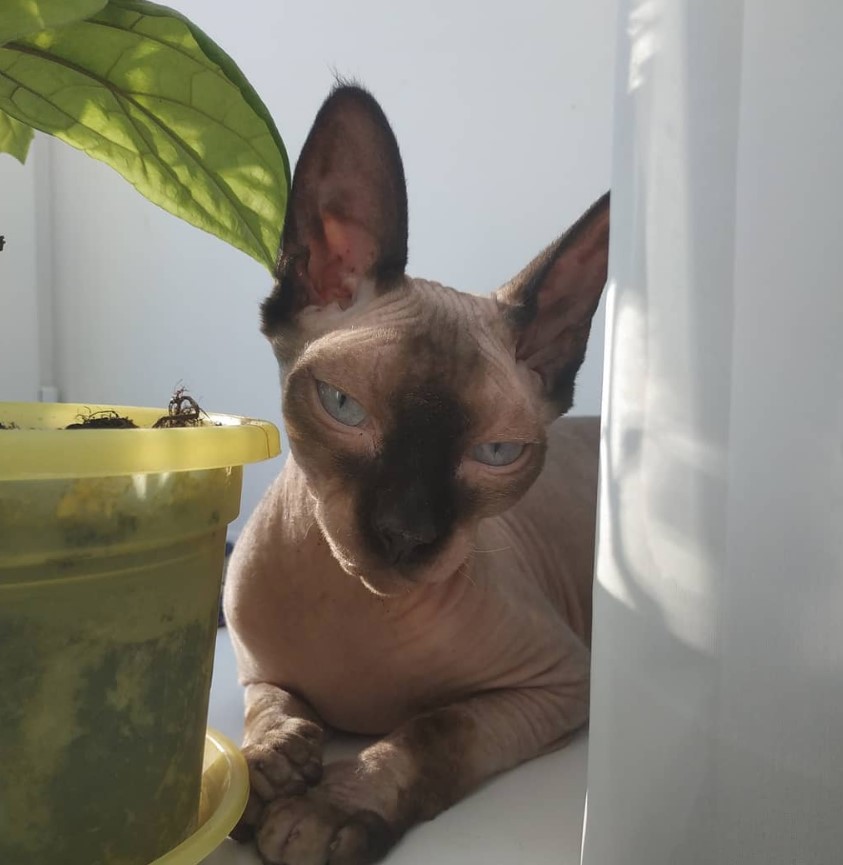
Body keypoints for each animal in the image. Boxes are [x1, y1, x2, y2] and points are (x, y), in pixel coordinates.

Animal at [224, 82, 608, 864]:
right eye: (343, 406)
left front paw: (327, 810)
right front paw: (269, 764)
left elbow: (430, 732)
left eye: (497, 453)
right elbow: (271, 707)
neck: (352, 605)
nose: (406, 533)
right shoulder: (252, 666)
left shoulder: (556, 684)